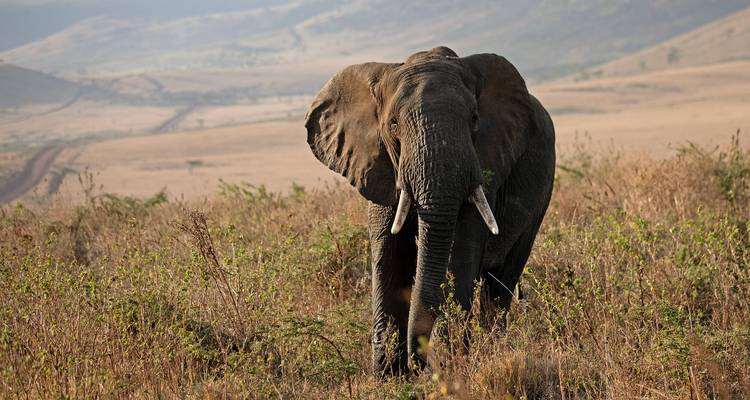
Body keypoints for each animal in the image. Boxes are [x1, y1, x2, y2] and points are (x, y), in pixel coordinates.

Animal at [305, 46, 555, 374]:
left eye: (474, 118)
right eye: (393, 125)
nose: (419, 362)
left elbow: (459, 254)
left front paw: (450, 366)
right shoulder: (379, 167)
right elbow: (389, 255)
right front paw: (389, 376)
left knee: (500, 282)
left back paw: (492, 350)